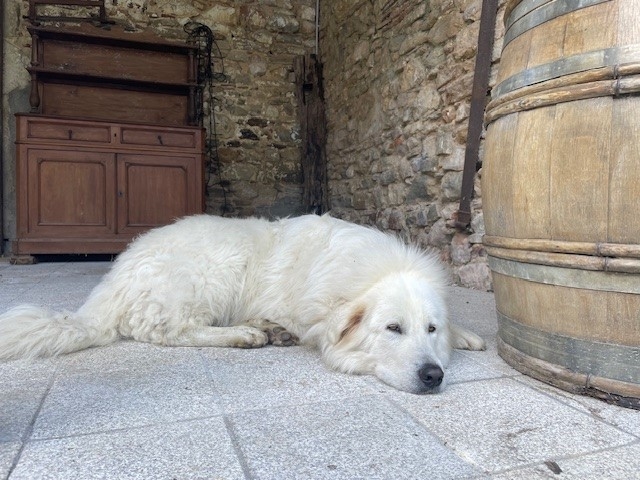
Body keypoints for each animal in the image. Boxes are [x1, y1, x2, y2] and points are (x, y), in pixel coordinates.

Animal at [0, 215, 484, 394]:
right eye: (392, 329)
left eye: (431, 329)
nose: (433, 376)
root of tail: (115, 275)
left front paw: (468, 335)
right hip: (221, 267)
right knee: (169, 331)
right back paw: (246, 333)